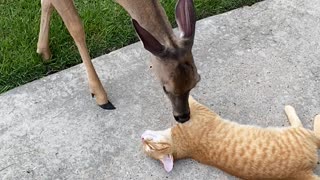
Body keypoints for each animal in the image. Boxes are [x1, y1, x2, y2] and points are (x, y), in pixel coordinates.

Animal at [37, 0, 200, 122]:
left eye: (196, 81)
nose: (183, 117)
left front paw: (43, 52)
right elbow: (76, 27)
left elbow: (46, 2)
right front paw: (100, 96)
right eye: (165, 88)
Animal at [141, 97, 320, 179]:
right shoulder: (202, 112)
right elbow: (190, 100)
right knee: (311, 132)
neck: (178, 143)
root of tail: (301, 171)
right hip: (298, 133)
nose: (142, 139)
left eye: (148, 147)